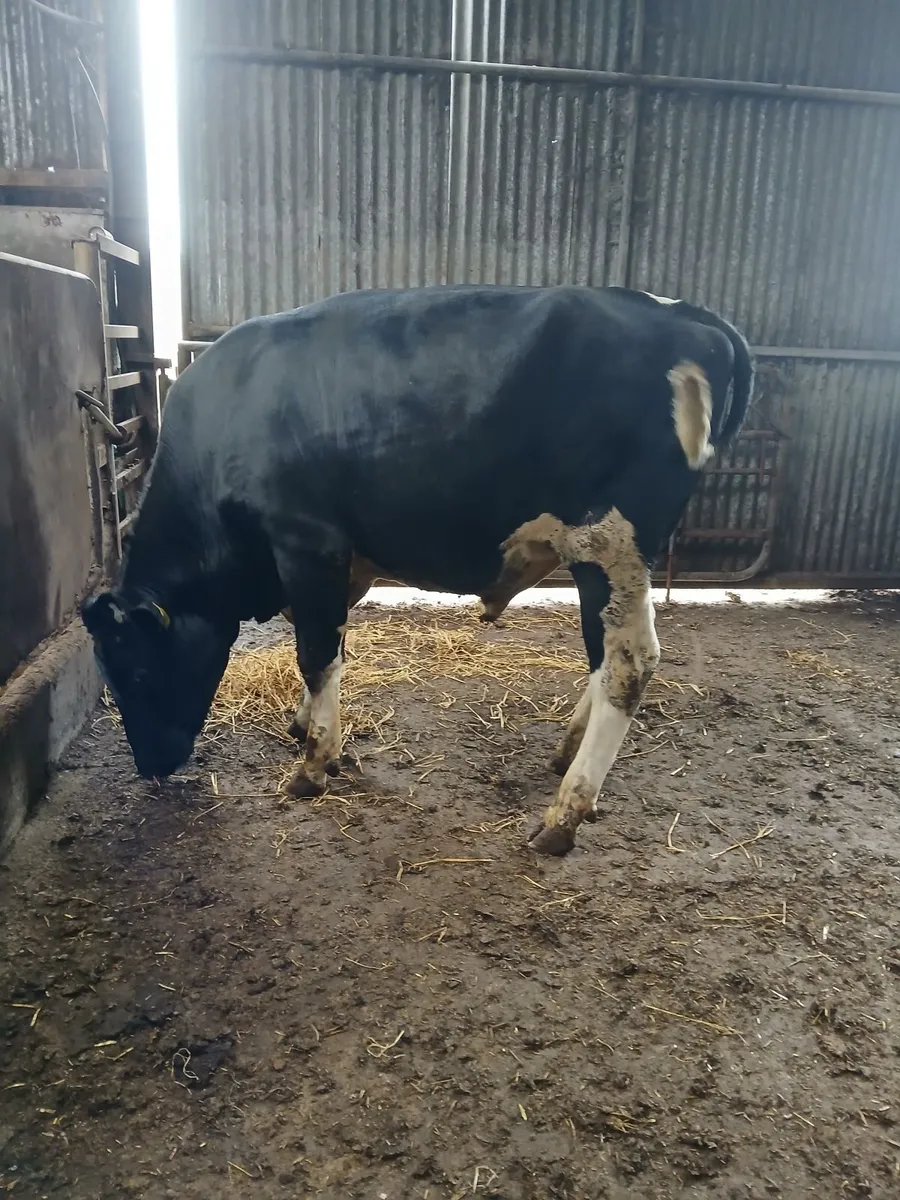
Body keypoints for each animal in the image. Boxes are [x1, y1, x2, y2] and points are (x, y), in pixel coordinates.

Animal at [81, 285, 752, 855]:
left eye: (136, 670)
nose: (150, 767)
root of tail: (678, 311)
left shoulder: (307, 544)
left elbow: (316, 651)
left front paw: (314, 765)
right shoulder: (341, 563)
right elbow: (329, 648)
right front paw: (306, 726)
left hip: (609, 542)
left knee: (628, 664)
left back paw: (565, 814)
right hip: (602, 557)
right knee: (601, 657)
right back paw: (565, 754)